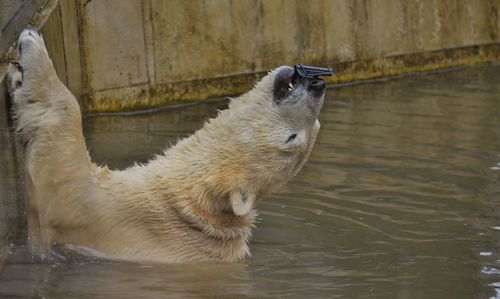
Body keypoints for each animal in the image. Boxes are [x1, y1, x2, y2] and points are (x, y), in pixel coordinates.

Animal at [8, 27, 328, 262]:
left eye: (292, 138)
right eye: (315, 127)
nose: (317, 83)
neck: (184, 196)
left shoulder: (110, 213)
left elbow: (63, 175)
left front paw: (30, 52)